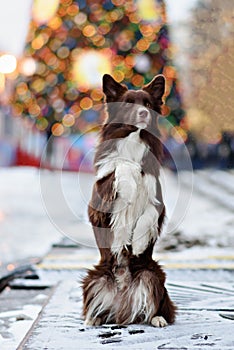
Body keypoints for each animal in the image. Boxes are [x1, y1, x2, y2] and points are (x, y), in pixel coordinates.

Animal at [82, 74, 176, 328]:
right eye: (128, 104)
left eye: (148, 104)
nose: (143, 113)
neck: (134, 139)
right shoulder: (98, 201)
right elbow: (122, 165)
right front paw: (130, 185)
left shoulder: (158, 201)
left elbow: (149, 215)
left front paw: (139, 243)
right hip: (95, 278)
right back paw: (94, 318)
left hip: (151, 275)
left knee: (156, 305)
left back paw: (157, 318)